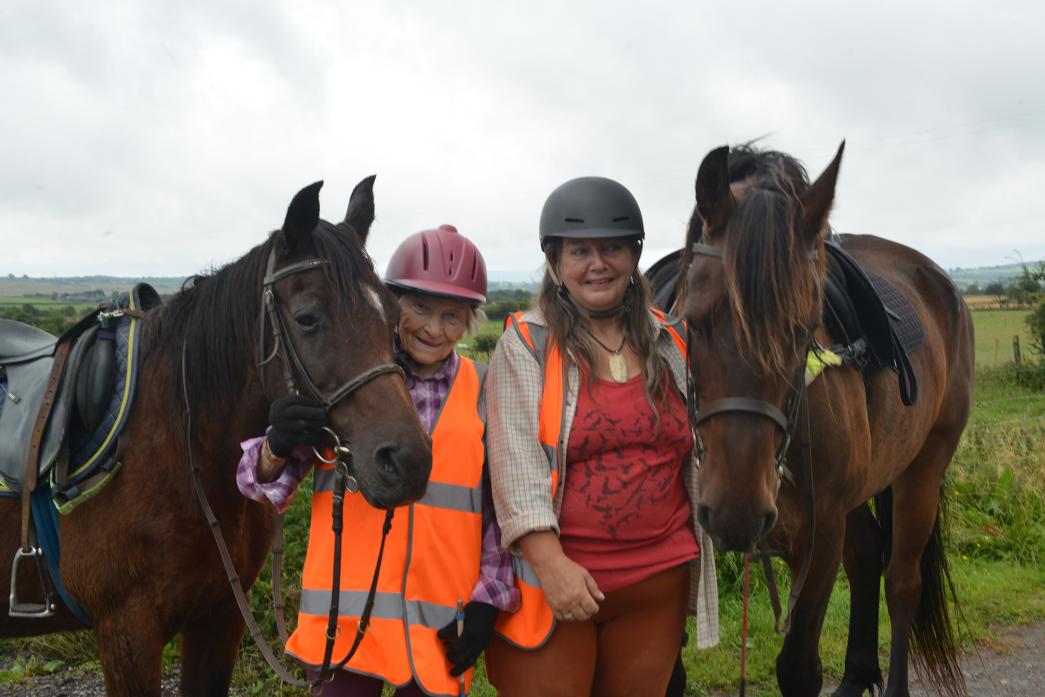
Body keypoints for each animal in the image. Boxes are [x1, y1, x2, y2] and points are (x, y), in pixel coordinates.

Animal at [1, 177, 432, 697]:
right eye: (307, 318)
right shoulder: (126, 633)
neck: (181, 455)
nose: (407, 462)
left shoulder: (218, 619)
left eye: (391, 316)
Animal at [681, 143, 973, 697]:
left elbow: (799, 669)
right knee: (866, 559)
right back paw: (857, 673)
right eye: (693, 320)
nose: (736, 512)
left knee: (901, 582)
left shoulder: (820, 536)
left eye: (803, 328)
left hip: (922, 470)